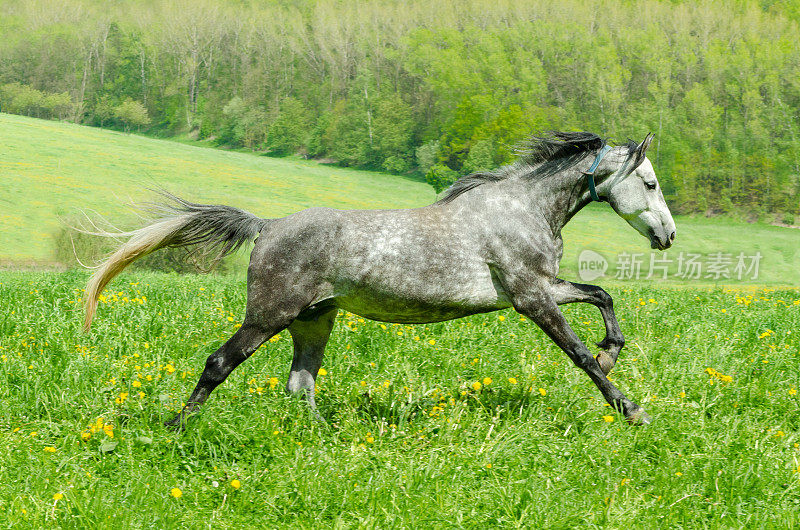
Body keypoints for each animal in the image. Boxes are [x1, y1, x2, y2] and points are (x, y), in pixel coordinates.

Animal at [84, 131, 676, 424]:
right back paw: (176, 429)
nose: (667, 236)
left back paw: (325, 439)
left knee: (301, 383)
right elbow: (578, 353)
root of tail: (268, 226)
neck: (522, 209)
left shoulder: (536, 290)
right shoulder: (530, 297)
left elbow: (601, 295)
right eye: (649, 183)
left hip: (313, 321)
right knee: (218, 363)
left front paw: (612, 352)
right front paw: (630, 409)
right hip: (269, 315)